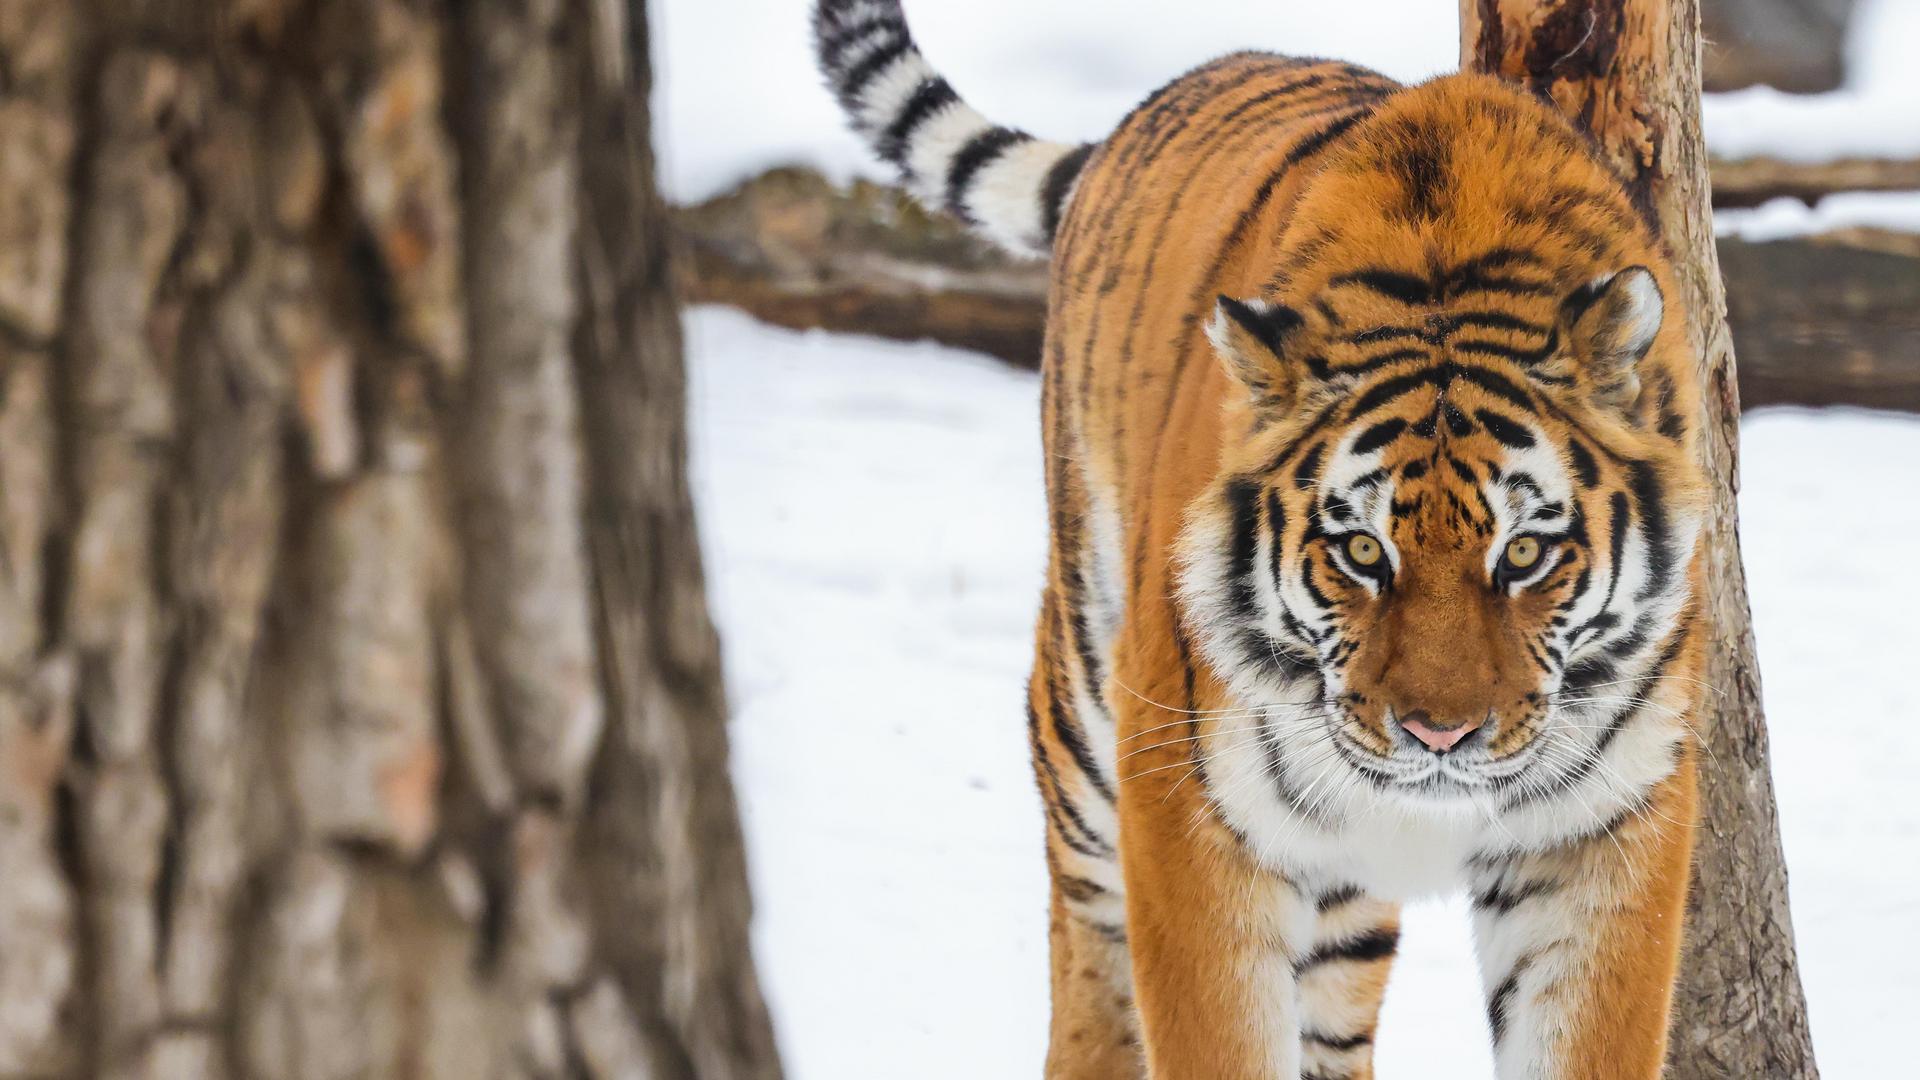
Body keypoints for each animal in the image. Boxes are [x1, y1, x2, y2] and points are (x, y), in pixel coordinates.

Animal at [810, 4, 1712, 1068]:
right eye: (1361, 553)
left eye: (1525, 554)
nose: (1439, 735)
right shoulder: (1189, 813)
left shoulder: (1605, 833)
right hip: (1085, 702)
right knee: (1086, 941)